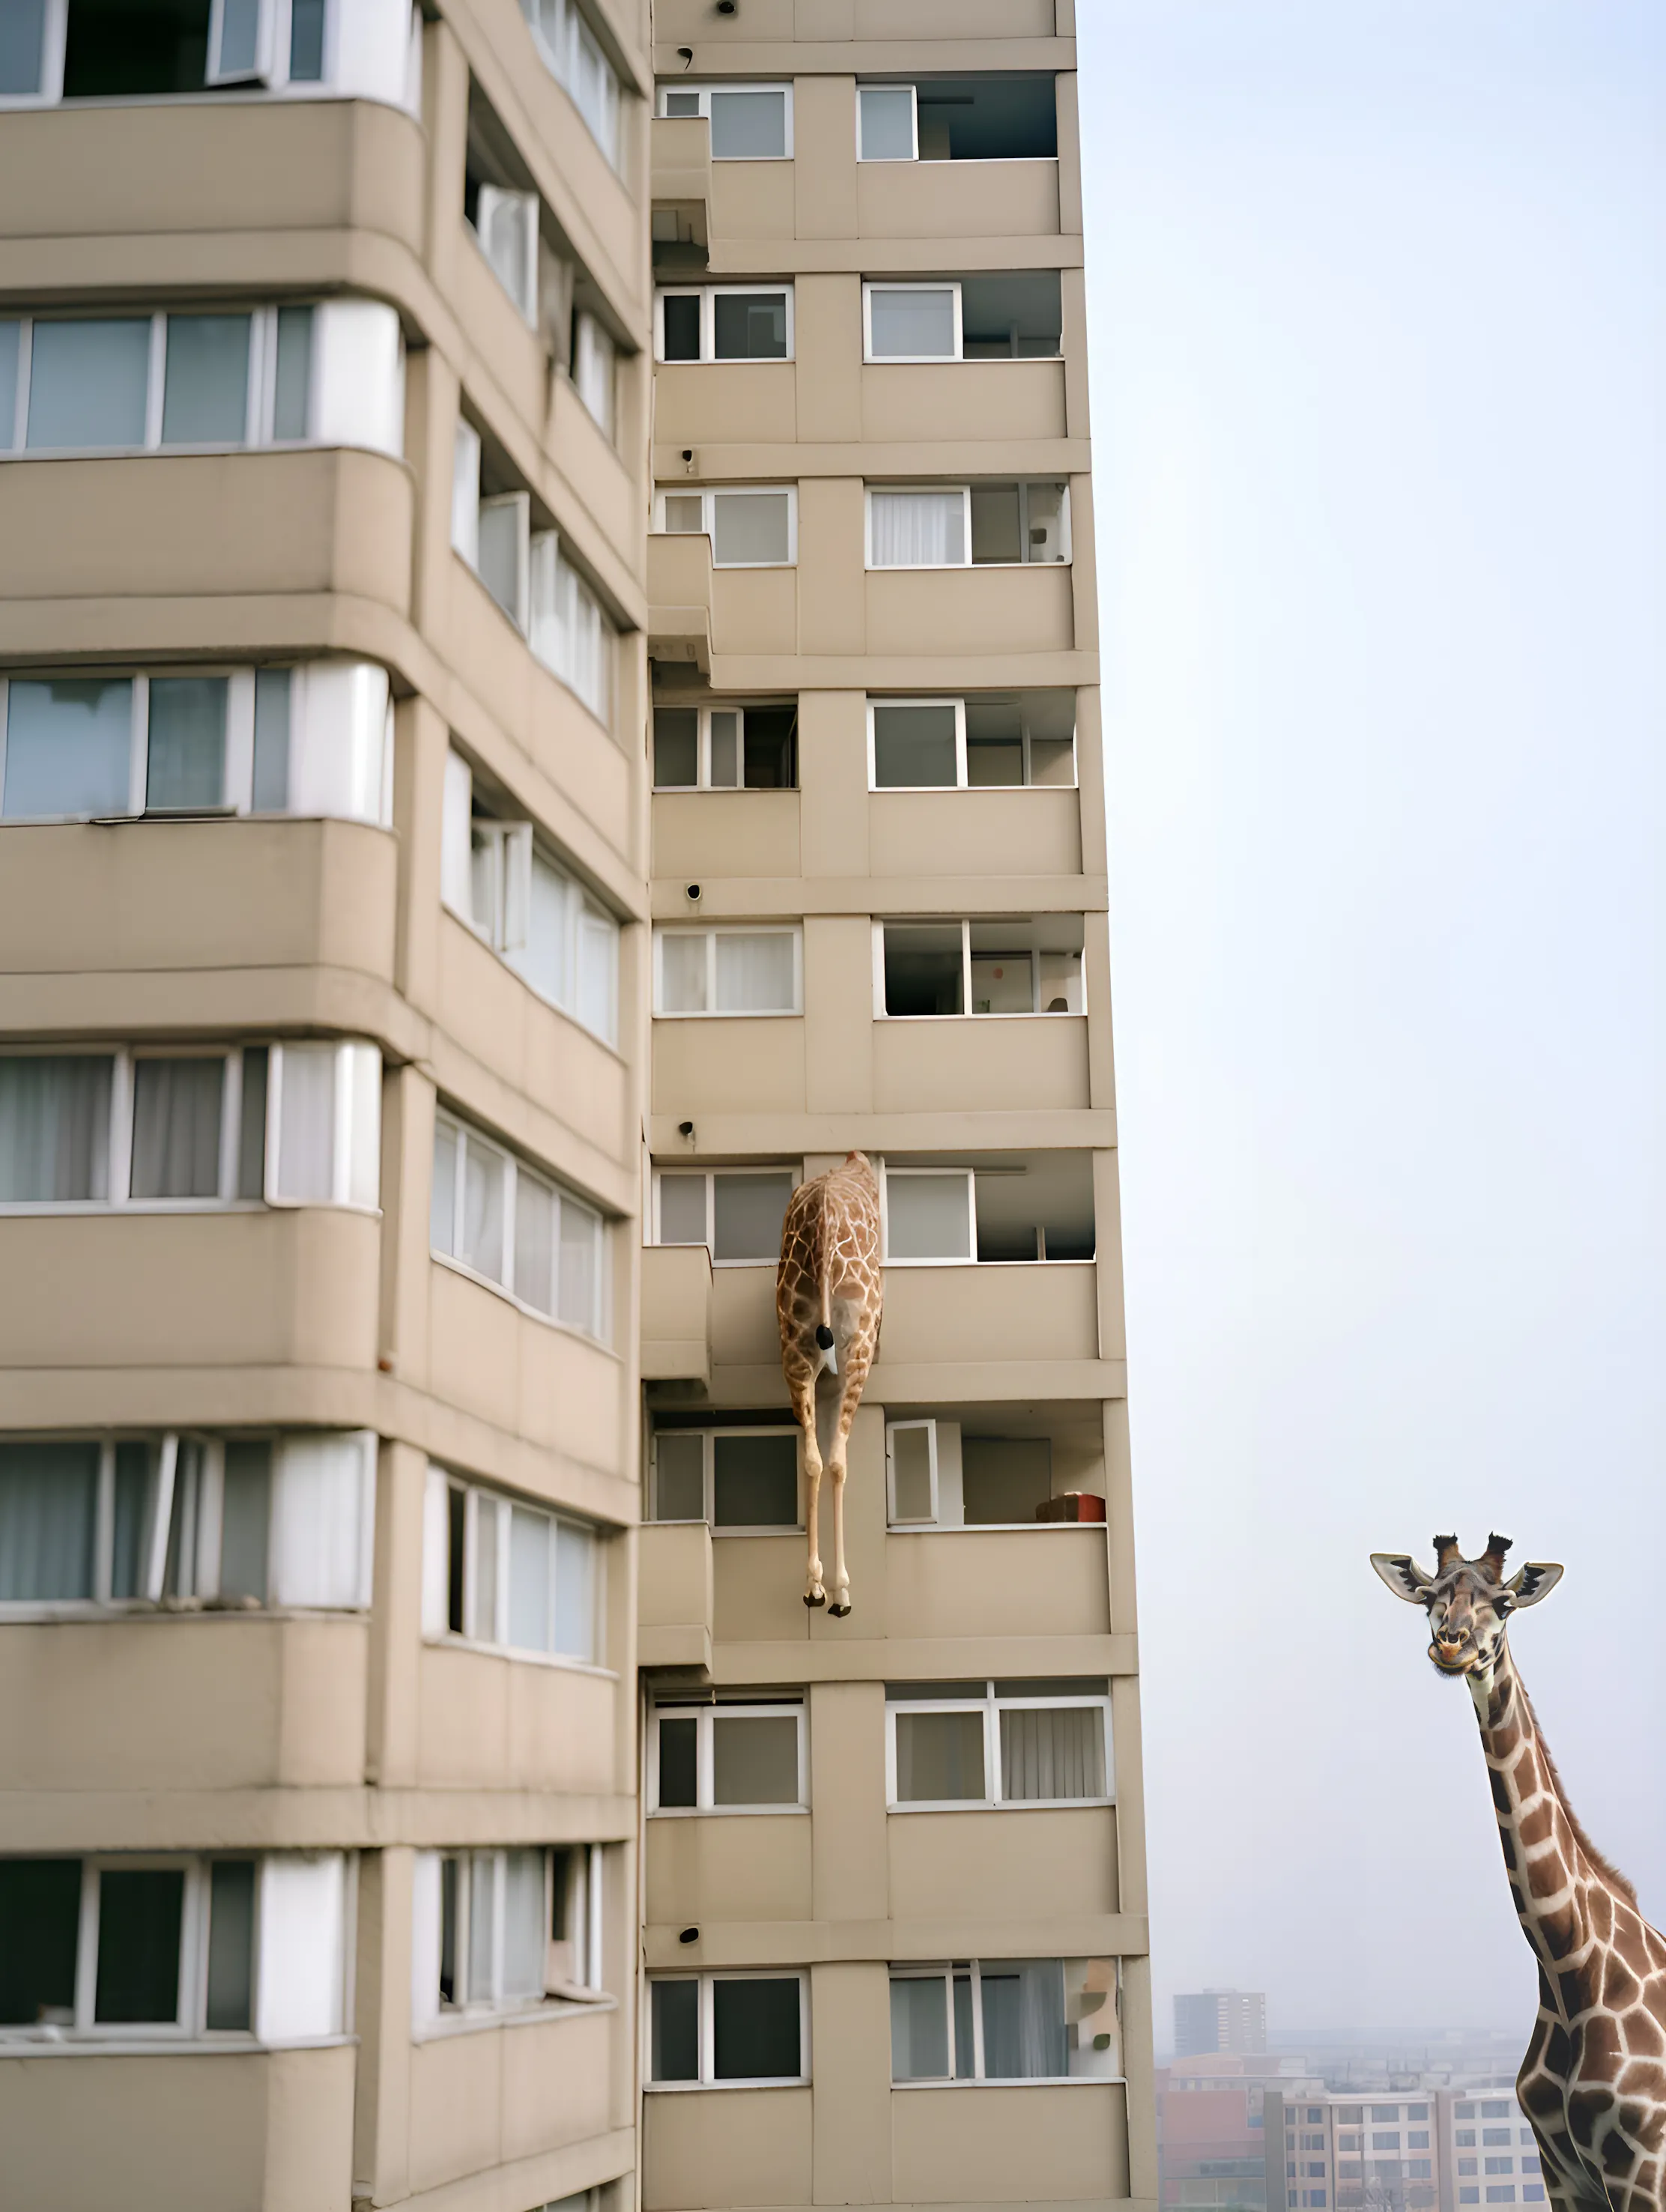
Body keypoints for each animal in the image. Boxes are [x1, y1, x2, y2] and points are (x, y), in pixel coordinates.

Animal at [1371, 1534, 1666, 2212]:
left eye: (1503, 1604)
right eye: (1430, 1596)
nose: (1452, 1643)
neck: (1568, 1963)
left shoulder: (1645, 2165)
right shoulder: (1561, 2173)